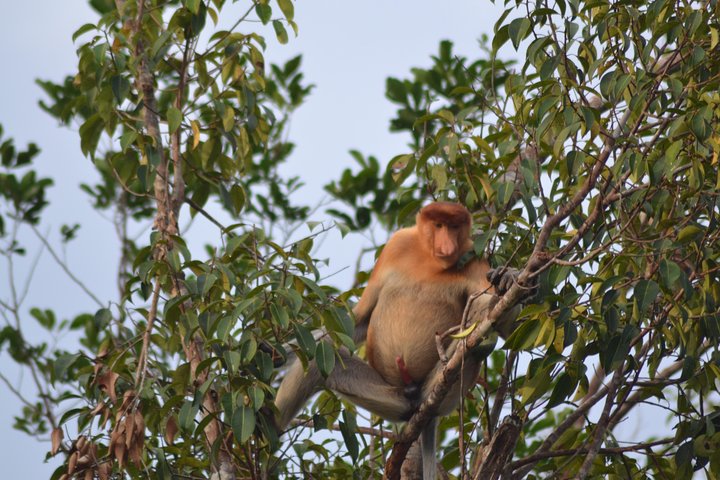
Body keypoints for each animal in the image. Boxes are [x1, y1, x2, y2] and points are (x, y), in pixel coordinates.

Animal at [275, 202, 524, 479]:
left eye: (454, 227)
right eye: (439, 225)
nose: (447, 245)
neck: (430, 260)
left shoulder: (474, 258)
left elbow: (502, 322)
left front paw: (508, 278)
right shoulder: (396, 244)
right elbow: (359, 320)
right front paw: (274, 353)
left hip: (446, 393)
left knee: (475, 326)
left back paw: (478, 347)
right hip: (391, 397)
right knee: (320, 358)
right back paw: (267, 432)